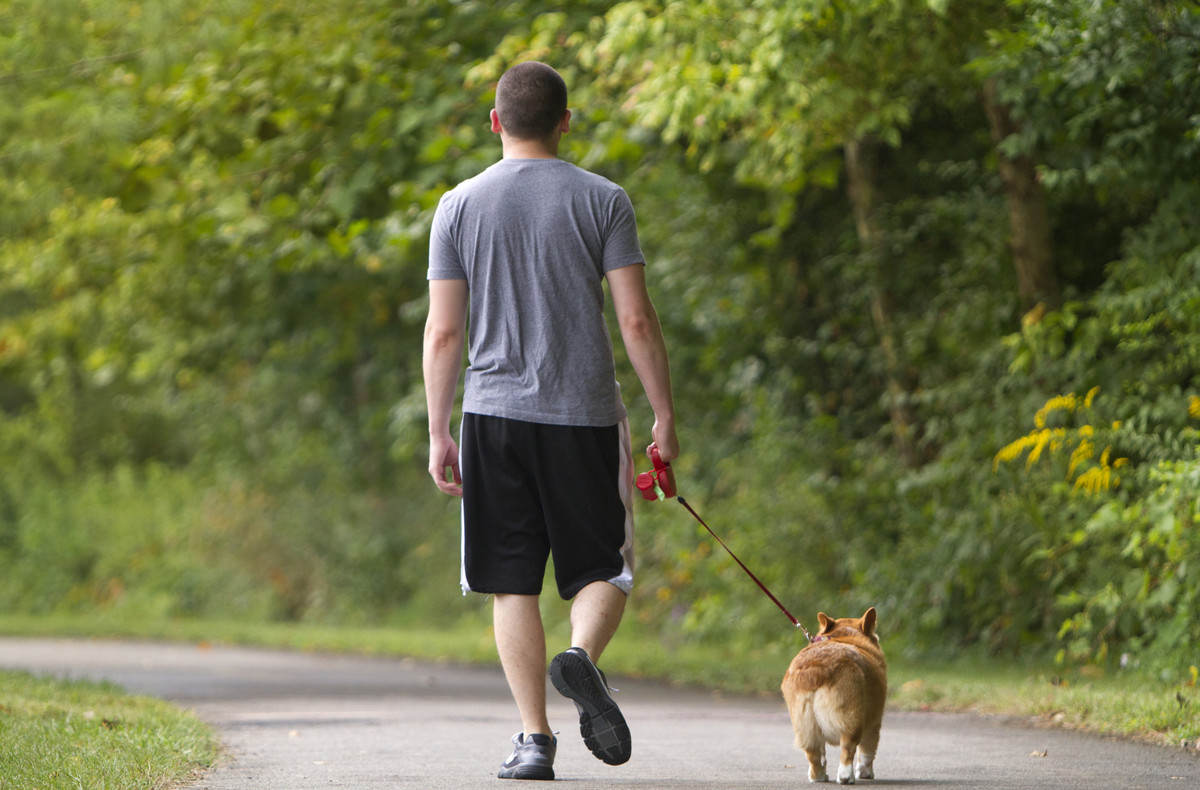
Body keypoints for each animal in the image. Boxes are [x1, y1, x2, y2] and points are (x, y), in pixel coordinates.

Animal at [782, 605, 888, 777]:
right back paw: (846, 777)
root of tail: (816, 670)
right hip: (853, 719)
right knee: (848, 749)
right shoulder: (874, 722)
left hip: (804, 724)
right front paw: (866, 774)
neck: (844, 635)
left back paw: (819, 776)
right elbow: (867, 752)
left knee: (813, 754)